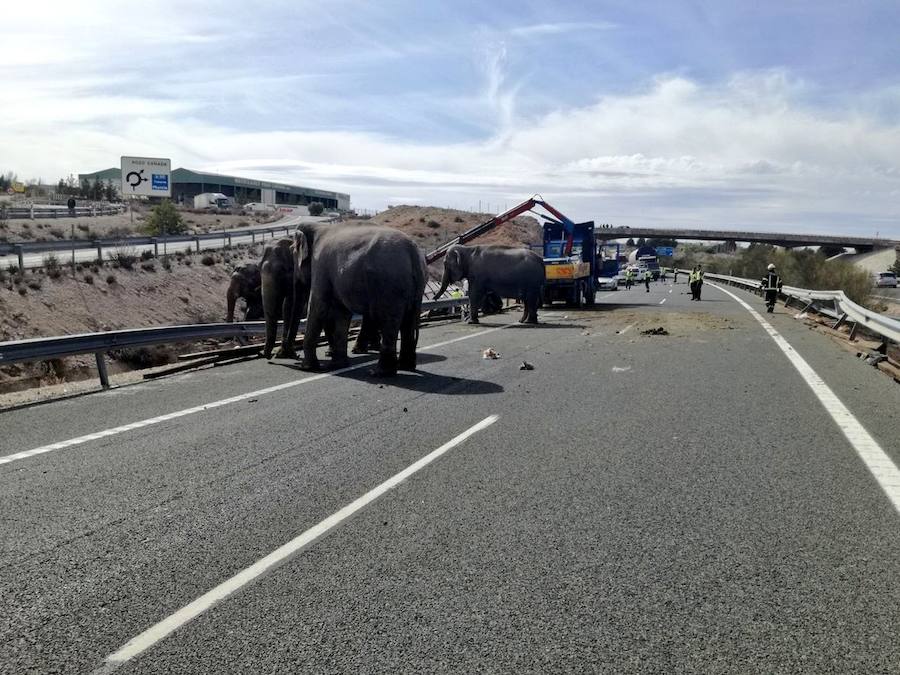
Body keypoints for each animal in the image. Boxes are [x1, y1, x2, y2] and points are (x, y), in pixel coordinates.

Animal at [290, 226, 428, 374]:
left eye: (293, 255)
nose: (295, 356)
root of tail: (412, 252)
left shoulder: (320, 265)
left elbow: (318, 306)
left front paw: (308, 368)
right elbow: (341, 312)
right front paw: (337, 365)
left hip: (390, 285)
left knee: (389, 320)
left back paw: (379, 373)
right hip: (414, 288)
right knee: (408, 321)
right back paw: (405, 367)